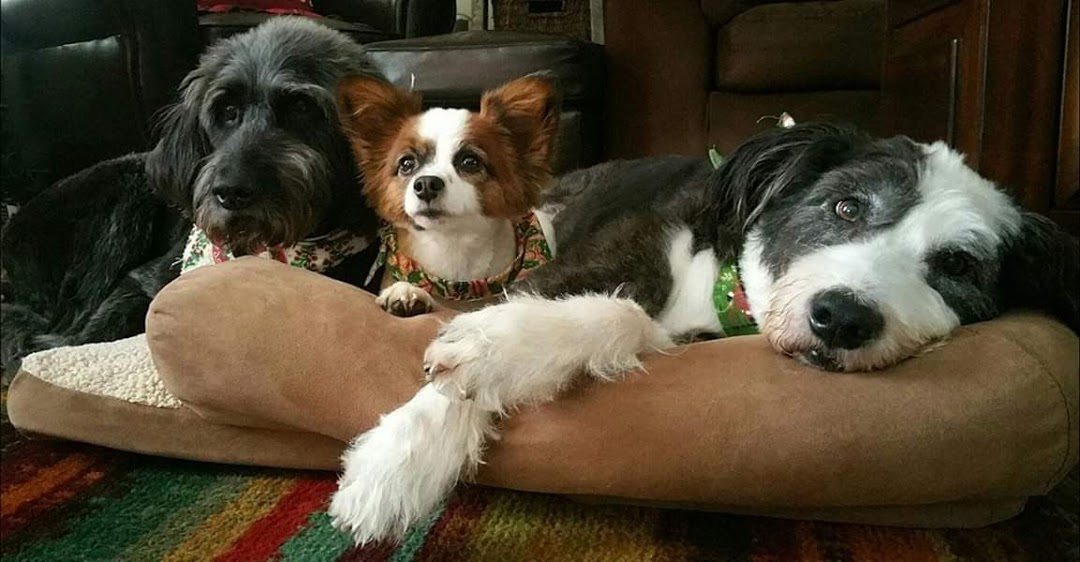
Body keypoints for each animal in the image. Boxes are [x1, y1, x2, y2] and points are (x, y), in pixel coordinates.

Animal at [1, 17, 380, 372]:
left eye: (302, 107)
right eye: (228, 111)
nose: (230, 192)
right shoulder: (138, 281)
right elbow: (94, 330)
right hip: (127, 193)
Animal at [327, 123, 1080, 543]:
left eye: (958, 266)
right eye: (845, 207)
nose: (842, 318)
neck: (724, 284)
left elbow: (624, 318)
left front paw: (490, 352)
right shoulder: (587, 261)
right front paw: (396, 465)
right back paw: (403, 293)